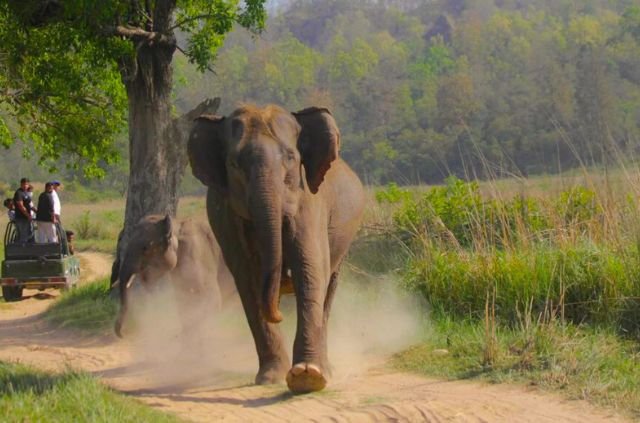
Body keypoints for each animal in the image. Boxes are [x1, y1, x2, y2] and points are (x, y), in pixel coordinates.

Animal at [188, 104, 365, 393]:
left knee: (328, 291)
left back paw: (326, 369)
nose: (279, 315)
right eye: (234, 164)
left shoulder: (308, 202)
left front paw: (307, 377)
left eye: (291, 158)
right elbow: (248, 281)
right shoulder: (227, 219)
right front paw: (271, 378)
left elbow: (310, 270)